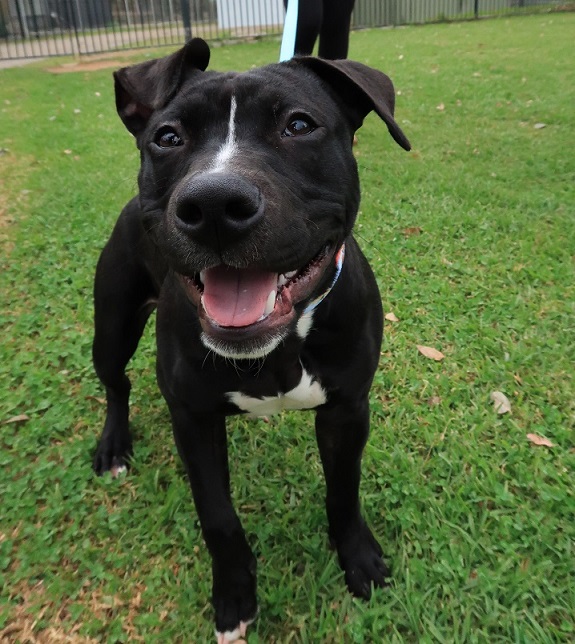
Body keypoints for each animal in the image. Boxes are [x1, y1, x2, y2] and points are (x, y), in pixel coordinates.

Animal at [92, 37, 410, 642]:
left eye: (299, 125)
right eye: (168, 137)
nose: (214, 204)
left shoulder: (347, 409)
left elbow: (344, 489)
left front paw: (358, 560)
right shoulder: (194, 419)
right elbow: (218, 516)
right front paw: (235, 598)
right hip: (111, 327)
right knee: (116, 383)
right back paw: (113, 445)